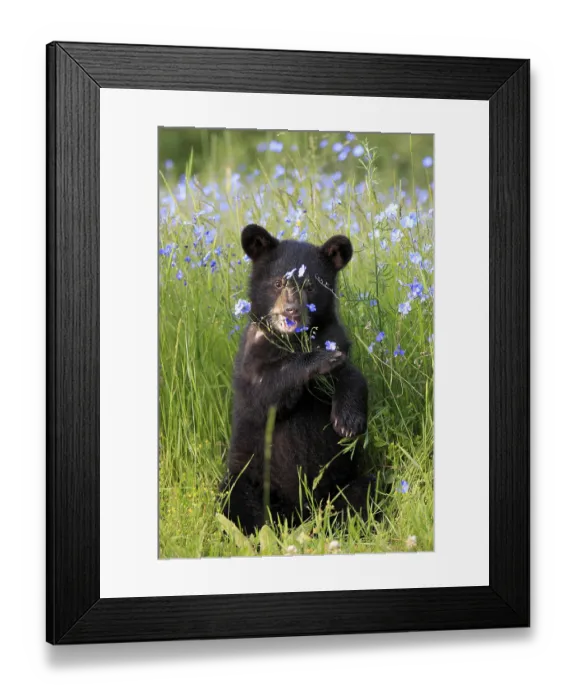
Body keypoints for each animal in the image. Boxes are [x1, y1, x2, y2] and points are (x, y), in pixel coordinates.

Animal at [220, 224, 375, 535]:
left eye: (311, 286)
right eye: (279, 283)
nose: (292, 311)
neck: (293, 341)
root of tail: (298, 516)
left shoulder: (335, 338)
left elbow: (352, 376)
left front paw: (347, 422)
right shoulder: (251, 360)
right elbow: (265, 393)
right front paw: (318, 360)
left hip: (347, 481)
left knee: (363, 493)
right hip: (246, 478)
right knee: (237, 505)